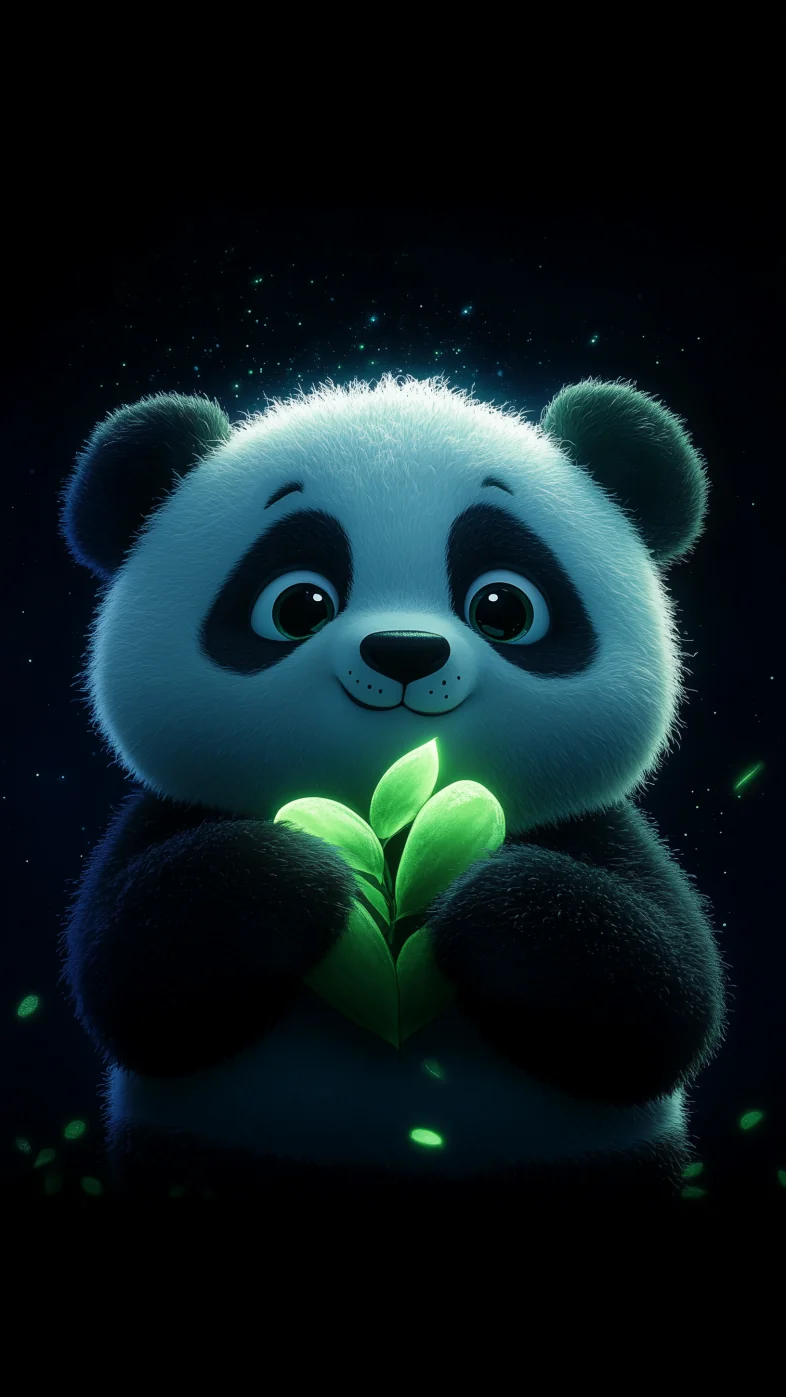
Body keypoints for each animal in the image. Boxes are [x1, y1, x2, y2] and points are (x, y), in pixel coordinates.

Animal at [59, 372, 726, 1206]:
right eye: (297, 603)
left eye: (505, 605)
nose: (406, 650)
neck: (391, 816)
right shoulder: (170, 818)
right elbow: (130, 980)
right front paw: (301, 874)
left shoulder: (595, 829)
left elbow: (664, 1003)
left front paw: (484, 901)